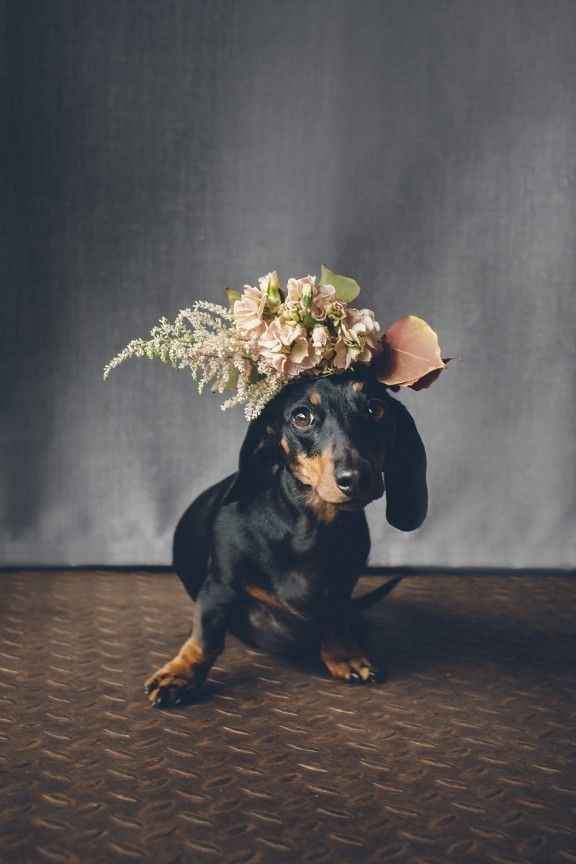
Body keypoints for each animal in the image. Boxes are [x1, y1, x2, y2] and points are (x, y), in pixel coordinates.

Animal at [146, 366, 426, 708]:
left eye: (375, 409)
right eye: (301, 417)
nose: (357, 478)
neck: (309, 527)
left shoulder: (340, 589)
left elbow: (334, 616)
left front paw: (343, 655)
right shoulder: (219, 585)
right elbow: (206, 638)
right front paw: (179, 675)